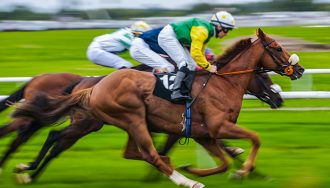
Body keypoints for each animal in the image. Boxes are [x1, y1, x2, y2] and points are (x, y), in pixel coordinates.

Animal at [12, 28, 302, 187]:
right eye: (277, 48)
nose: (298, 69)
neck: (222, 84)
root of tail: (93, 86)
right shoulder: (218, 126)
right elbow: (254, 139)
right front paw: (241, 172)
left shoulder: (204, 133)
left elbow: (223, 161)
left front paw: (209, 168)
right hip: (127, 118)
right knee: (147, 153)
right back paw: (187, 181)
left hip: (122, 123)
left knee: (132, 151)